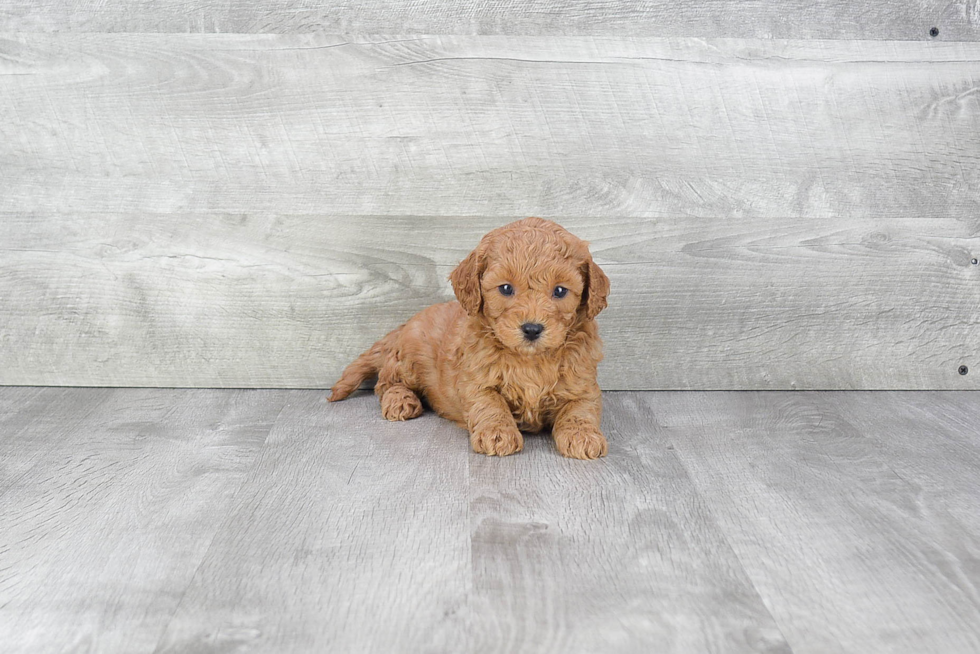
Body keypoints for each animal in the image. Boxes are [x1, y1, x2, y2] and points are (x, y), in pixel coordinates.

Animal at [330, 218, 608, 458]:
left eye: (560, 291)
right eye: (506, 288)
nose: (531, 329)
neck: (529, 360)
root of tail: (408, 322)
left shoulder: (583, 384)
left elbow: (580, 409)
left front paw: (584, 436)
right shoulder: (476, 380)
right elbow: (490, 404)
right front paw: (497, 433)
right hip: (407, 360)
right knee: (386, 384)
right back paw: (401, 400)